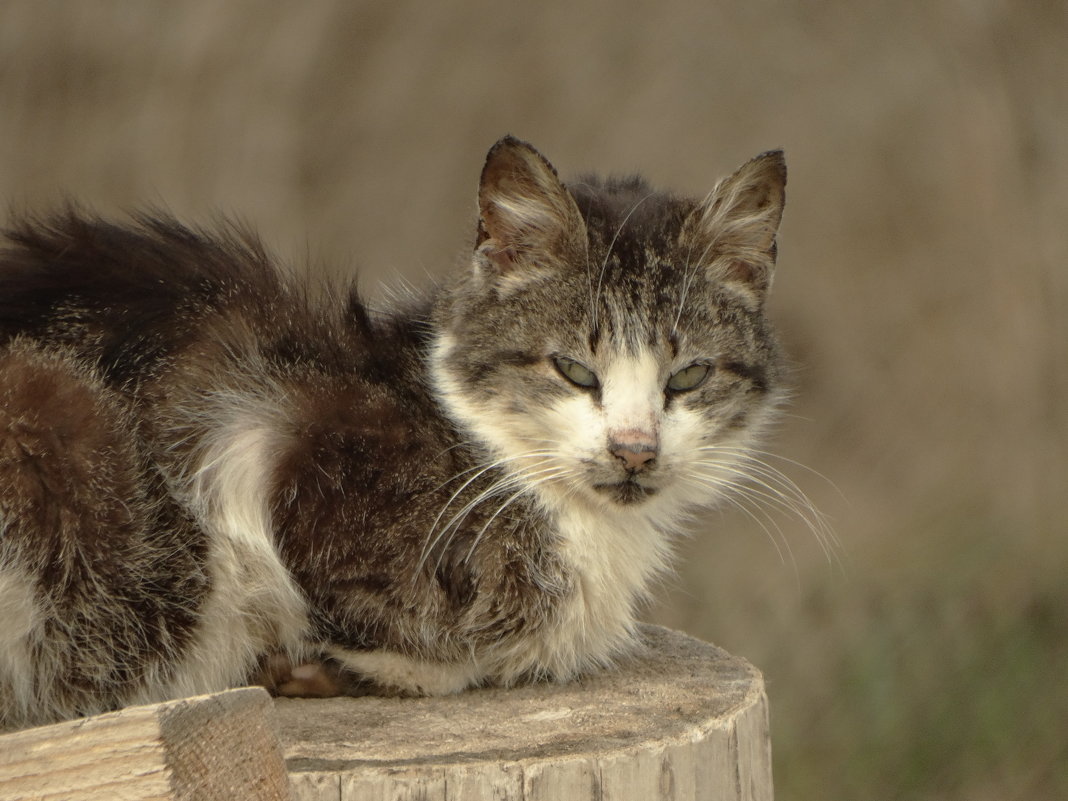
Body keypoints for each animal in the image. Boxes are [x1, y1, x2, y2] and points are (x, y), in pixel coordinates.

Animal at [0, 135, 786, 730]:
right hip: (59, 419)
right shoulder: (278, 445)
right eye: (573, 371)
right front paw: (311, 663)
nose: (634, 450)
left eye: (688, 377)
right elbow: (426, 651)